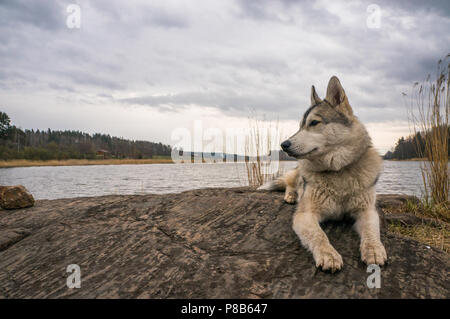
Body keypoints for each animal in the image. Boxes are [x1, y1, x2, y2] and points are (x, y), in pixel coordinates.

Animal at [260, 75, 386, 272]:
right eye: (300, 126)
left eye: (313, 123)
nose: (283, 145)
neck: (337, 171)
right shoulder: (305, 214)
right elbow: (319, 236)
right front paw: (329, 255)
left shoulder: (367, 210)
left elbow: (372, 232)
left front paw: (373, 249)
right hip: (297, 174)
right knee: (289, 184)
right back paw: (291, 196)